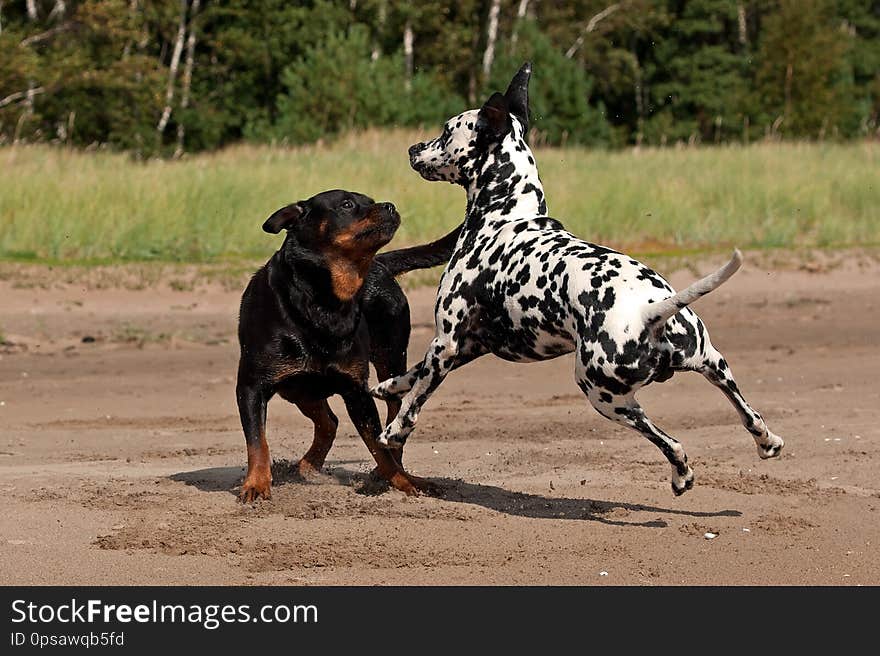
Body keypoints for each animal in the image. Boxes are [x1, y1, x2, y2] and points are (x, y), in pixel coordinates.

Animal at [239, 190, 460, 502]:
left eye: (370, 200)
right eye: (346, 204)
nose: (389, 205)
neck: (324, 301)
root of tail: (381, 264)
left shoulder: (357, 391)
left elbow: (378, 444)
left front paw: (403, 481)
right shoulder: (251, 387)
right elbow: (258, 441)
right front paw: (257, 484)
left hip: (390, 359)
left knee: (392, 420)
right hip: (298, 388)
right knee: (329, 421)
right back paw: (308, 465)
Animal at [372, 62, 784, 498]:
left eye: (448, 130)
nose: (413, 147)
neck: (506, 217)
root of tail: (650, 310)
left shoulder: (447, 342)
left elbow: (416, 400)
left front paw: (394, 430)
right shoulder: (469, 345)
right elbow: (414, 373)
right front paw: (389, 385)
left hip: (603, 395)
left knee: (671, 442)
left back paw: (681, 475)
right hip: (713, 365)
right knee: (748, 414)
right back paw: (766, 442)